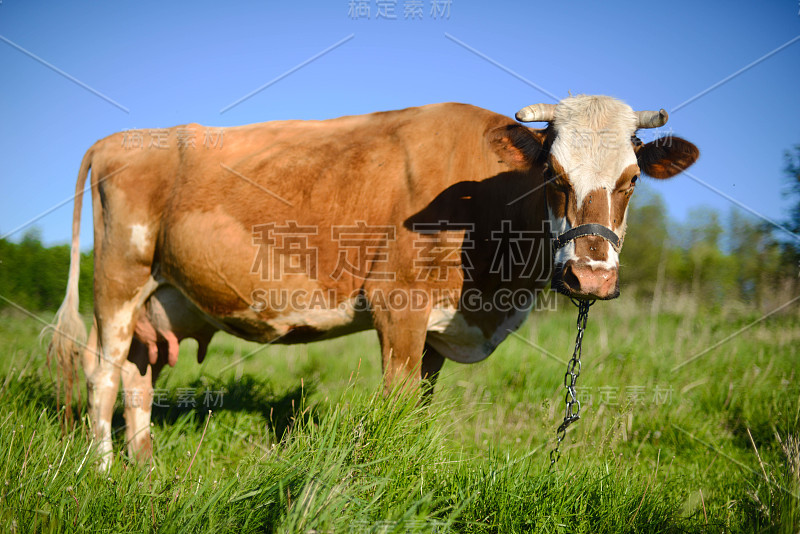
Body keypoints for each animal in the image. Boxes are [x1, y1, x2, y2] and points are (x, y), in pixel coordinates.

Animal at [48, 96, 700, 468]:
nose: (590, 276)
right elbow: (397, 406)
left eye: (633, 179)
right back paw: (102, 472)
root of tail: (123, 139)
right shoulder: (398, 308)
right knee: (102, 375)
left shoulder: (439, 328)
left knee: (138, 377)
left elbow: (420, 410)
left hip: (163, 299)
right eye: (555, 175)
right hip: (118, 280)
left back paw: (146, 469)